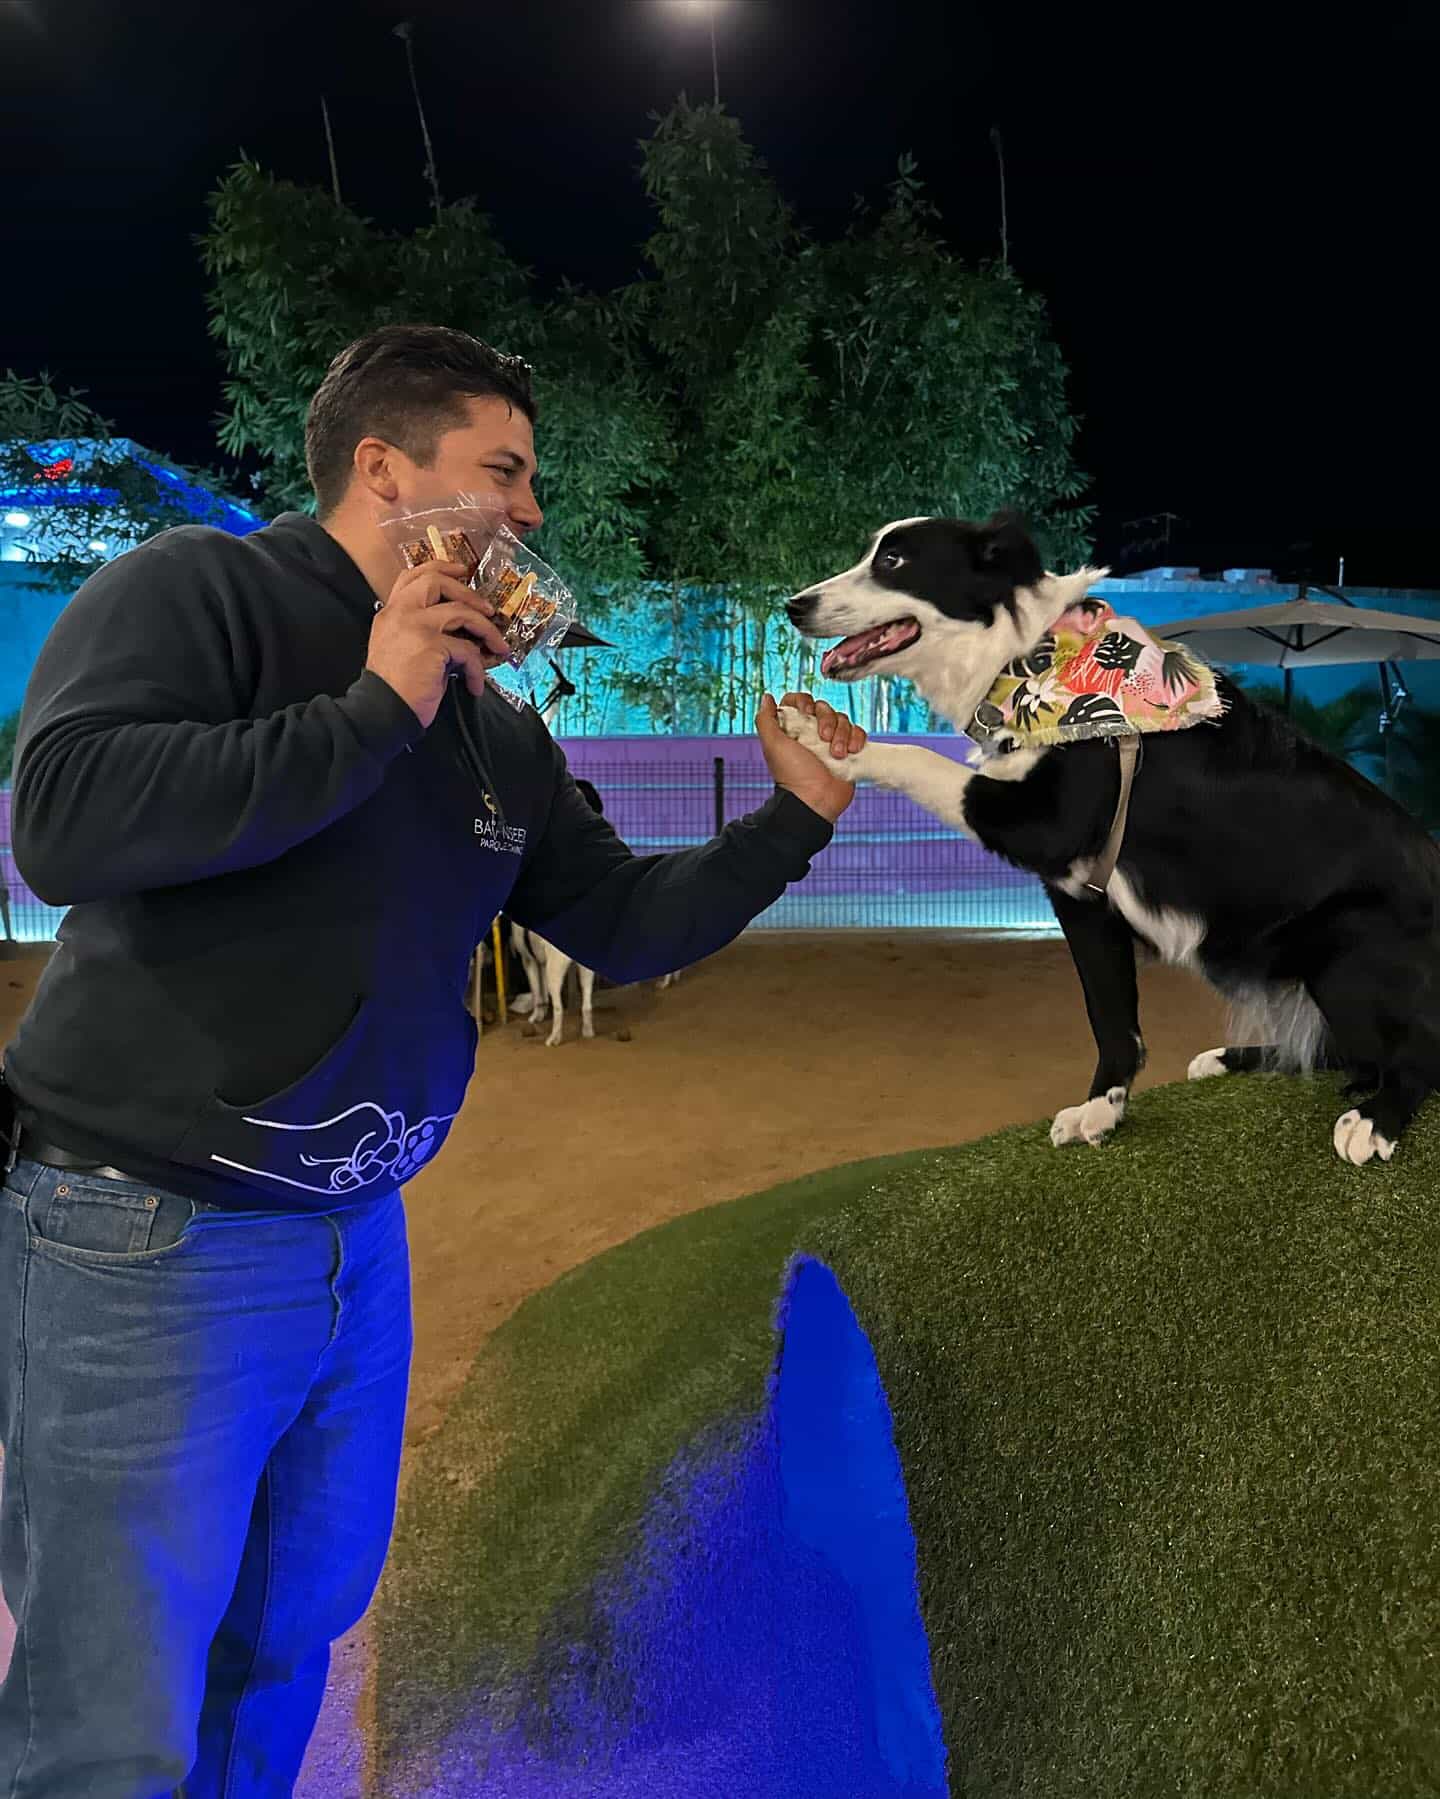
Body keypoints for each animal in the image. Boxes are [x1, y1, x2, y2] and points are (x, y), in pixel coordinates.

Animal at [781, 514, 1440, 1172]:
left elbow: (916, 757)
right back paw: (1233, 1058)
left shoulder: (1042, 823)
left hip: (1348, 942)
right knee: (1344, 1052)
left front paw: (819, 735)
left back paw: (1377, 1118)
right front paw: (1103, 1109)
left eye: (893, 561)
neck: (1029, 660)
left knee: (1415, 1048)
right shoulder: (1082, 898)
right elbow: (1111, 1017)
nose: (793, 605)